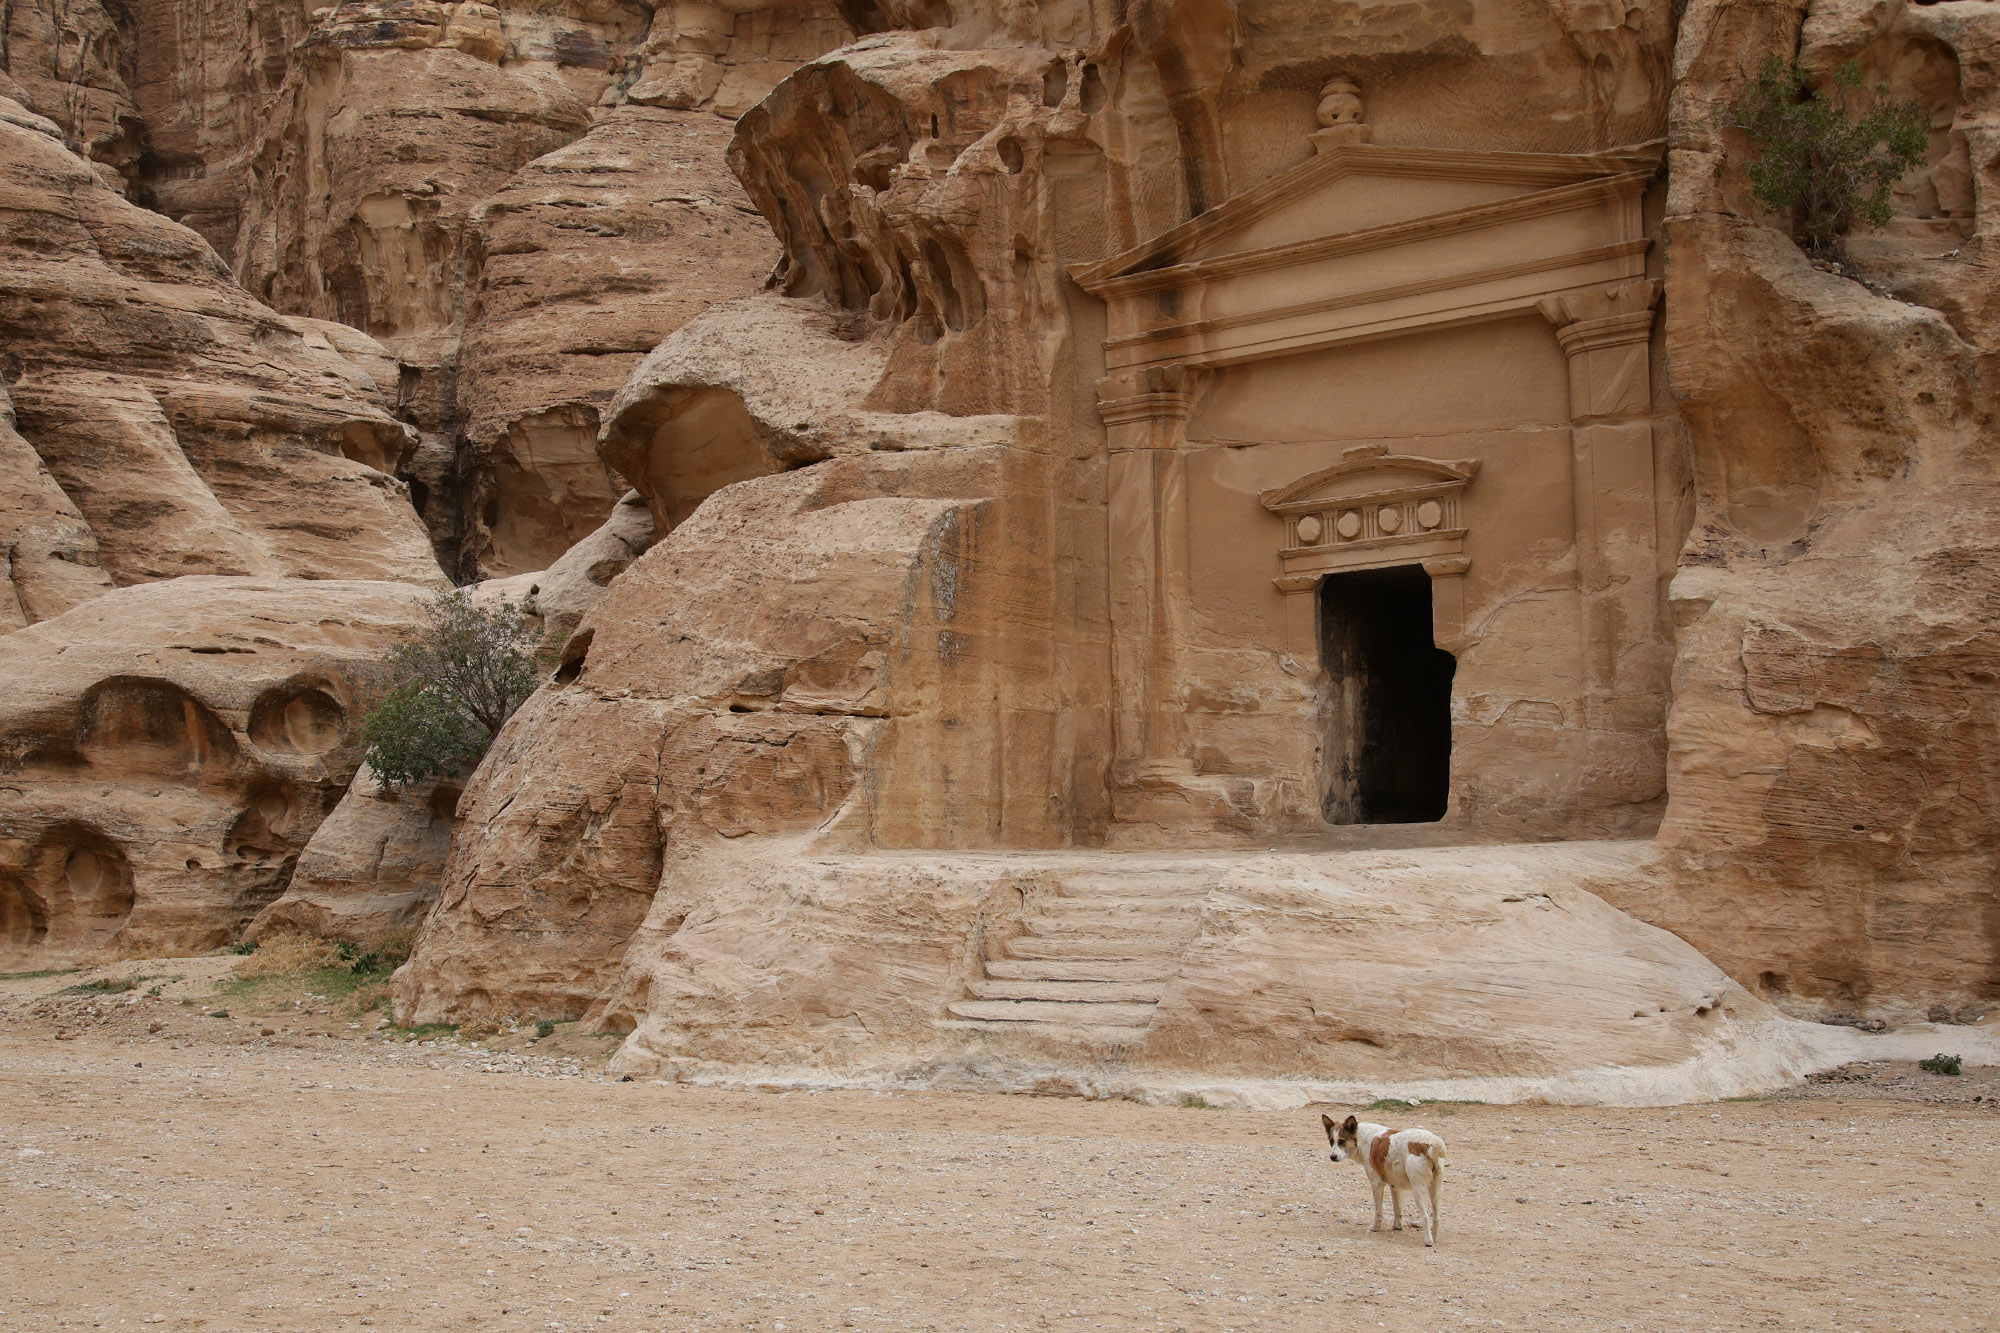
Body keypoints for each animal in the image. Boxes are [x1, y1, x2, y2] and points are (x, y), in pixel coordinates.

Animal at [1322, 1112, 1448, 1246]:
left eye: (1342, 1141)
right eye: (1331, 1141)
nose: (1332, 1157)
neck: (1362, 1139)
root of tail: (1429, 1142)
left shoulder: (1376, 1184)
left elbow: (1378, 1211)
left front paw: (1376, 1228)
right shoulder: (1395, 1186)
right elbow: (1397, 1210)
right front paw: (1397, 1227)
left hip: (1417, 1190)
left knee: (1425, 1217)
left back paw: (1428, 1241)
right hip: (1436, 1190)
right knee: (1437, 1217)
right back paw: (1435, 1238)